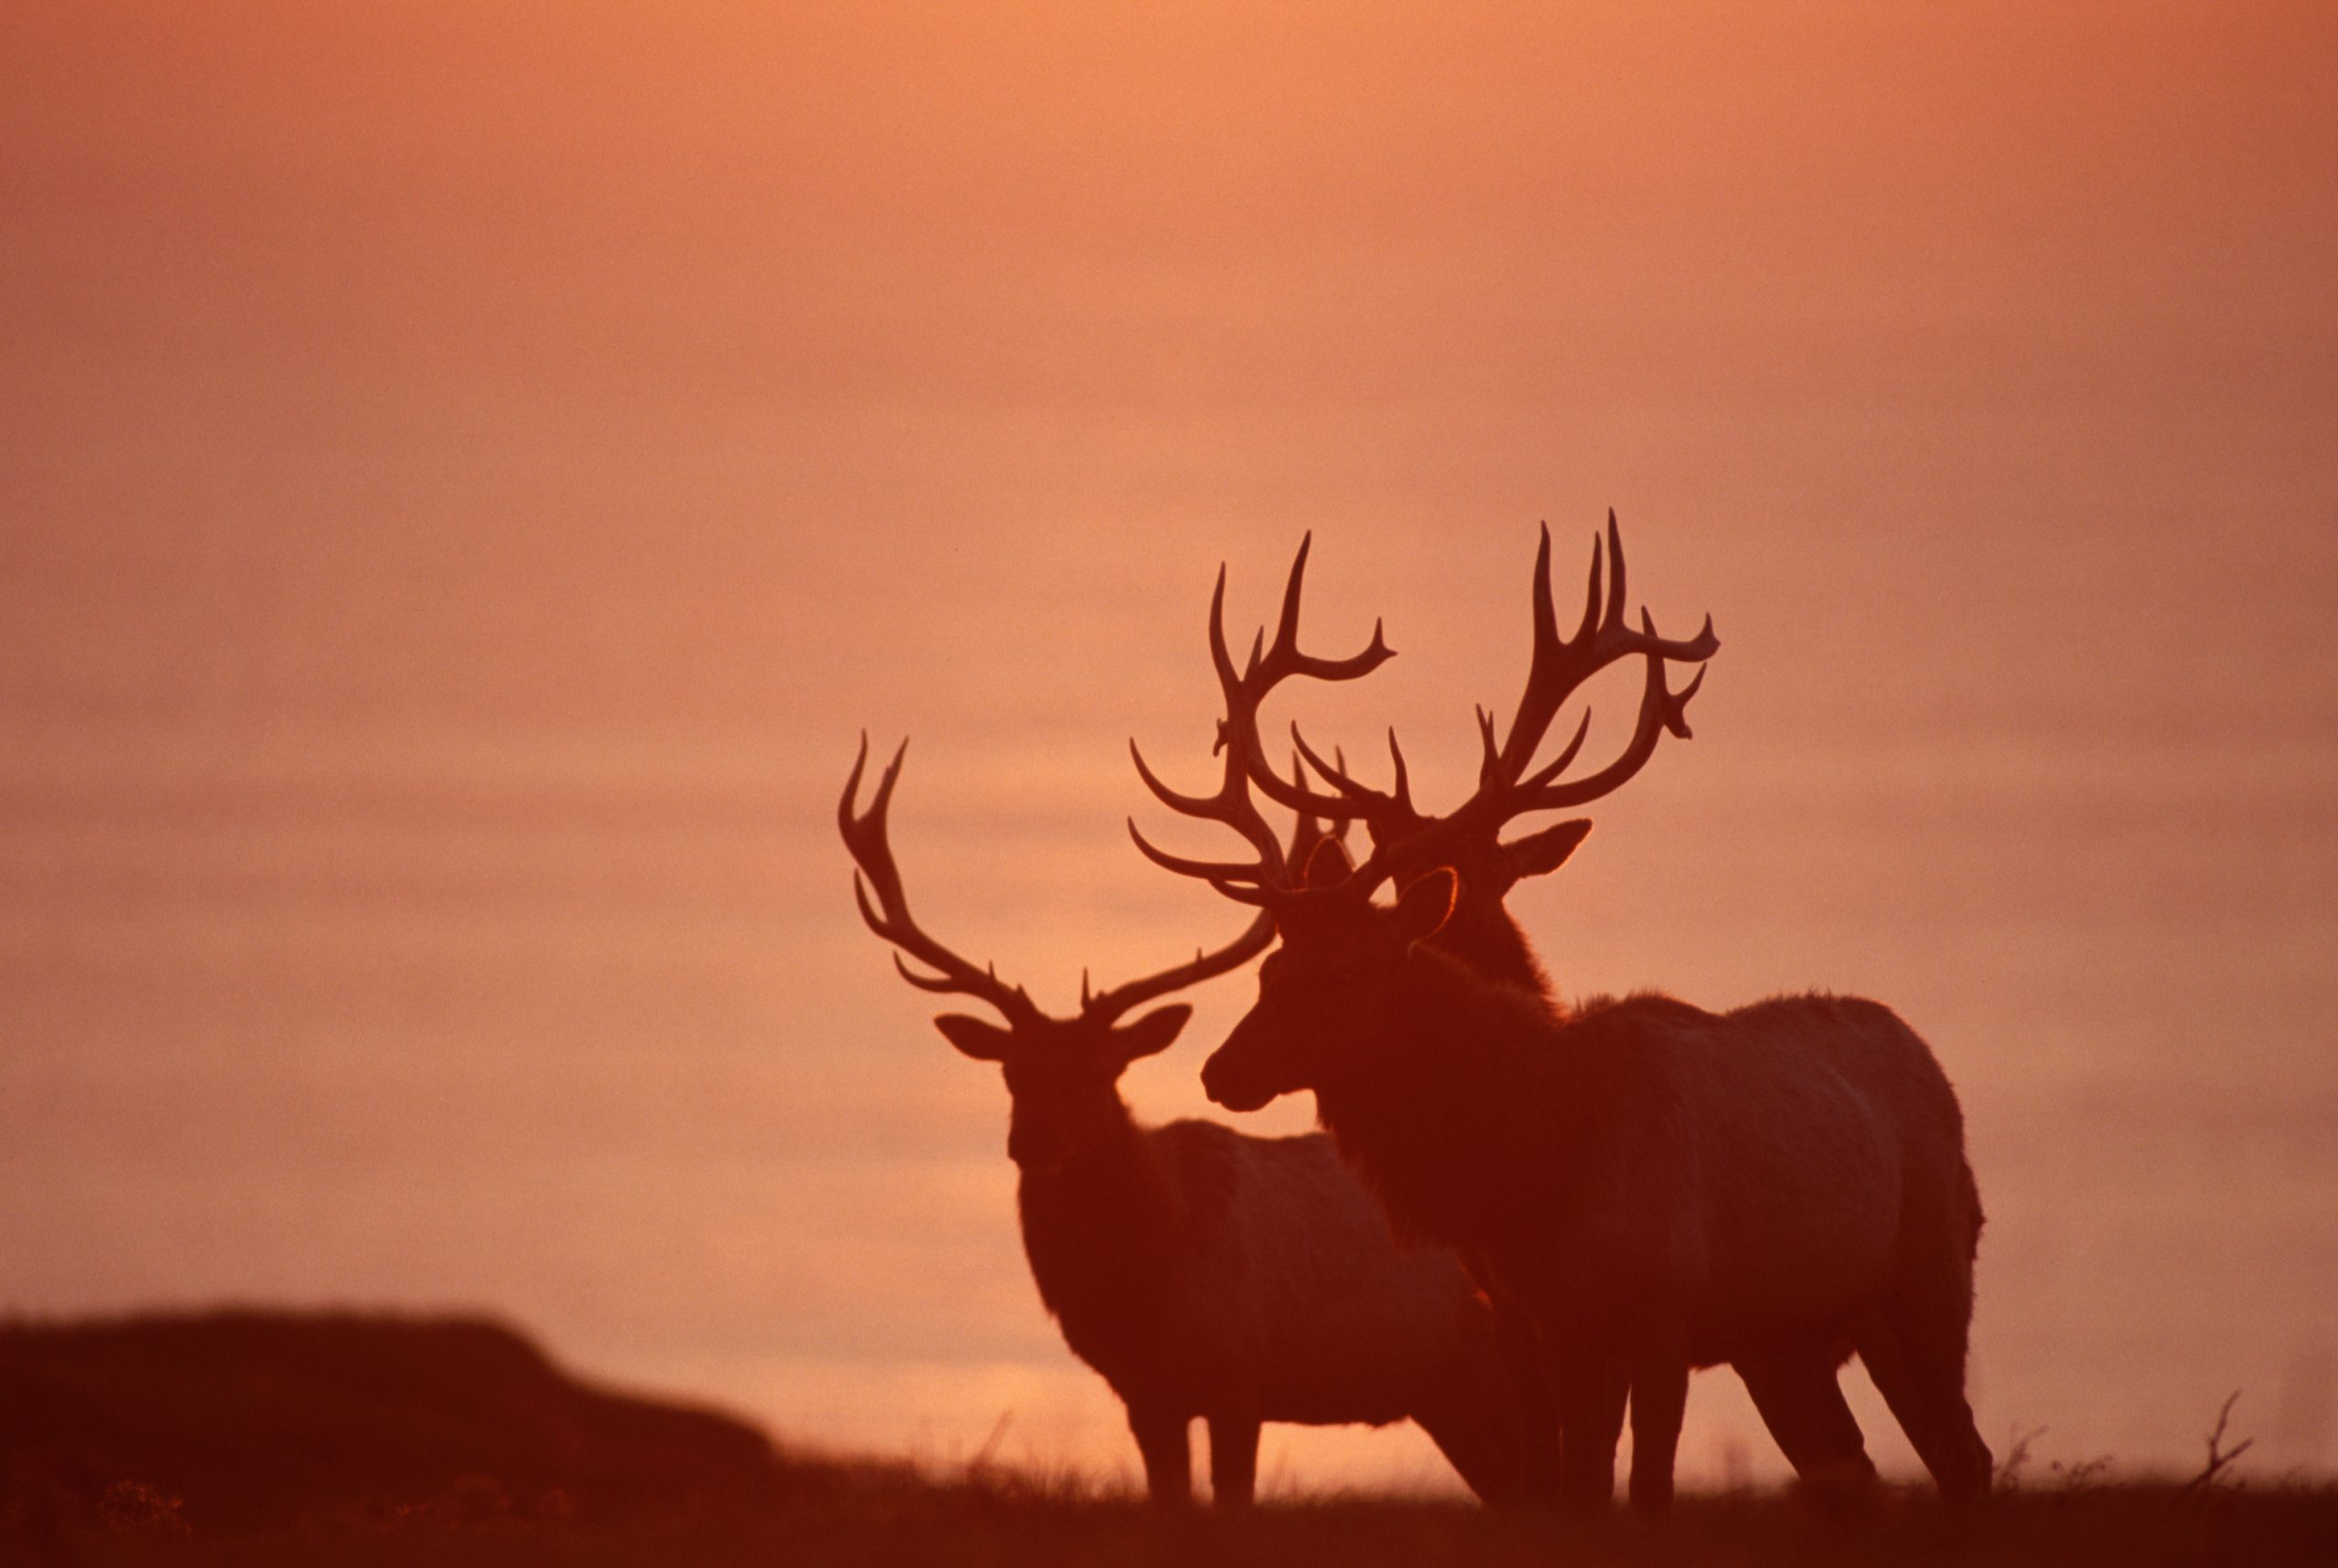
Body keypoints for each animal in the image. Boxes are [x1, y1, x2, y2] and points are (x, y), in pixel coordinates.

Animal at [832, 738, 1524, 1504]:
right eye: (1012, 1070)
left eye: (1106, 1069)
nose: (1035, 1138)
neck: (1146, 1290)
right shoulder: (1145, 1398)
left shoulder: (1240, 1377)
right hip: (1451, 1395)